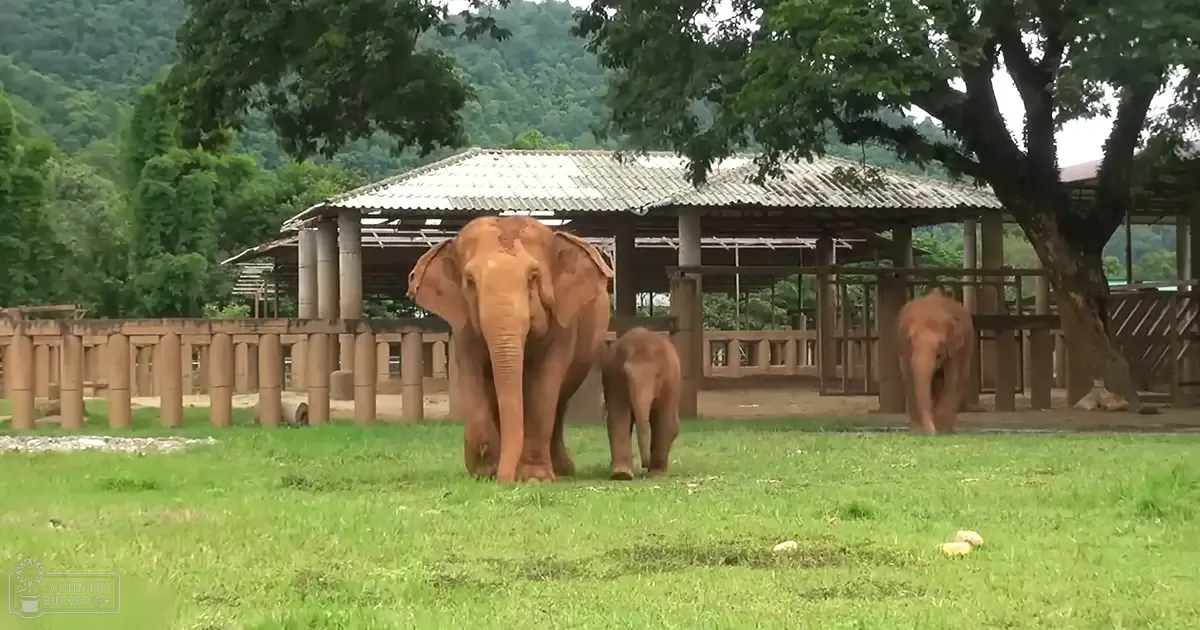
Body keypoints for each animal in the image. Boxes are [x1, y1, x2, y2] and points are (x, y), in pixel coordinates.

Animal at [407, 216, 614, 483]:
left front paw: (534, 478)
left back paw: (562, 470)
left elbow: (544, 382)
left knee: (559, 401)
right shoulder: (464, 326)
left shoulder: (564, 322)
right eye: (470, 281)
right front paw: (485, 470)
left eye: (533, 277)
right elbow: (472, 374)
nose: (505, 480)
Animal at [601, 326, 681, 480]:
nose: (645, 465)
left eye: (657, 375)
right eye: (625, 374)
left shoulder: (670, 380)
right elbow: (618, 416)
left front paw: (656, 474)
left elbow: (665, 420)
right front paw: (622, 475)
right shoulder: (613, 377)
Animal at [896, 288, 975, 435]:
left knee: (960, 377)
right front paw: (919, 429)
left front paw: (942, 429)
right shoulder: (903, 347)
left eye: (939, 352)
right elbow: (909, 377)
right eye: (910, 341)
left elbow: (952, 377)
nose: (931, 433)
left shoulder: (954, 348)